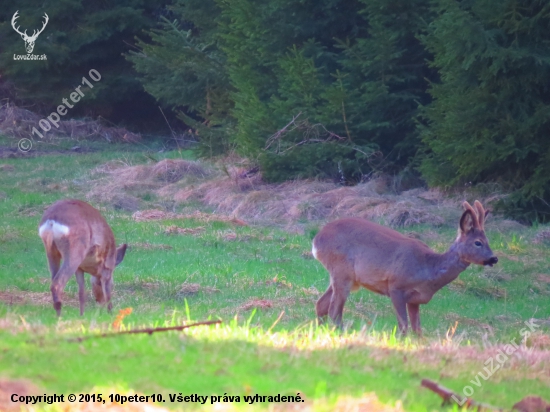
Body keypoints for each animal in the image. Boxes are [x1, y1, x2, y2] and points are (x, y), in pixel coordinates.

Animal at [312, 200, 498, 334]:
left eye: (488, 240)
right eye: (478, 242)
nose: (494, 258)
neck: (429, 269)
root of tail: (317, 239)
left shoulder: (415, 300)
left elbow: (418, 330)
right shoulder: (396, 287)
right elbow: (403, 326)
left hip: (346, 277)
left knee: (321, 304)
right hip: (341, 270)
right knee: (334, 309)